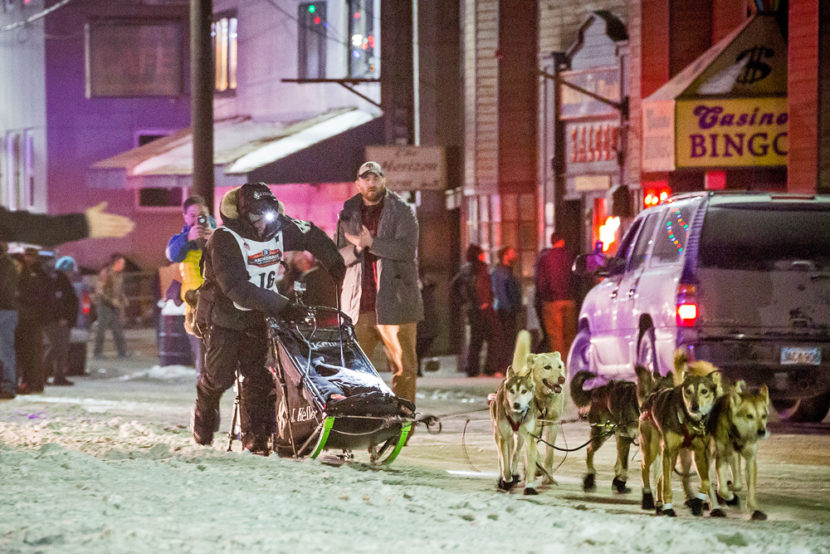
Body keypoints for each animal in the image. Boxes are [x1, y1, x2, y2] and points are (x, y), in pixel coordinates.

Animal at [488, 336, 540, 492]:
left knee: (515, 454)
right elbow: (505, 462)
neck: (516, 415)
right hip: (500, 435)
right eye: (512, 390)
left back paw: (515, 472)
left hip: (520, 438)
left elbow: (528, 462)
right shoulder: (504, 437)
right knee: (503, 457)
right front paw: (507, 480)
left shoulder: (529, 437)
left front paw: (530, 485)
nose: (517, 404)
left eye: (524, 391)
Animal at [644, 352, 720, 516]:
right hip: (653, 450)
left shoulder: (700, 452)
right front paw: (668, 508)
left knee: (661, 477)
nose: (694, 407)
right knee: (648, 470)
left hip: (673, 457)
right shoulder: (668, 451)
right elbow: (667, 485)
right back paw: (651, 499)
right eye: (688, 391)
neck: (688, 419)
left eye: (704, 391)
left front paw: (698, 502)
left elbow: (705, 480)